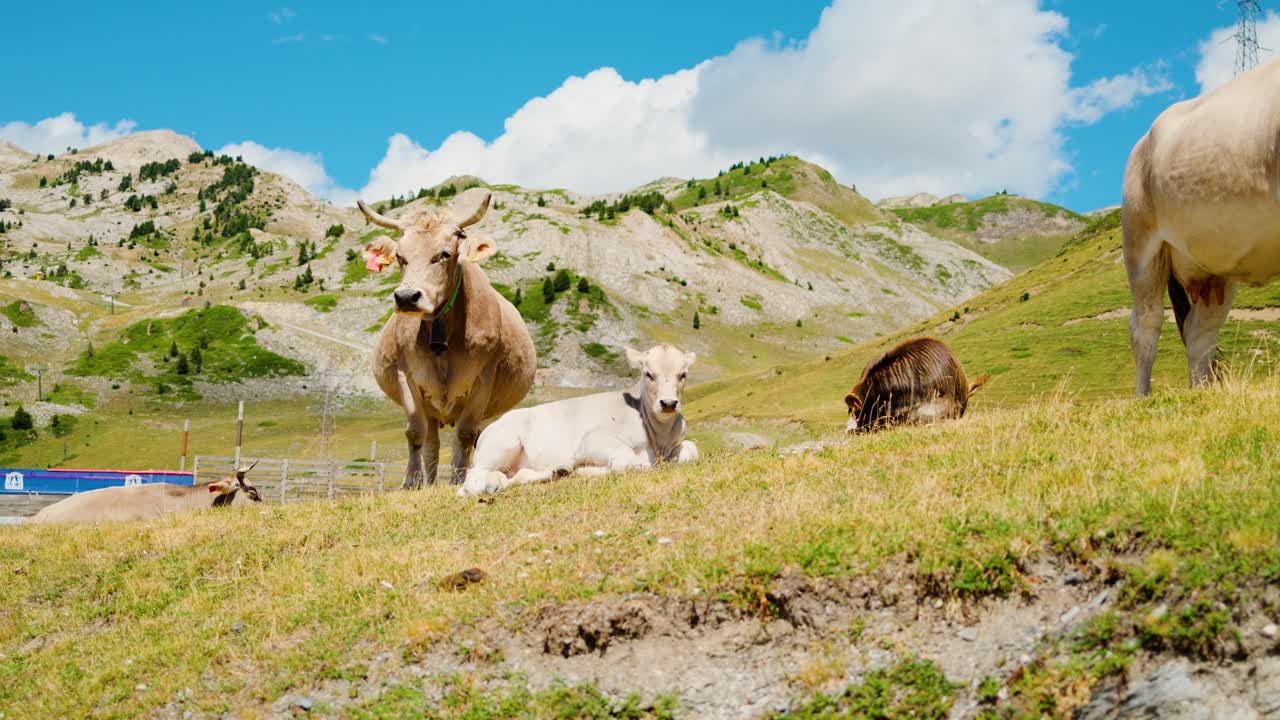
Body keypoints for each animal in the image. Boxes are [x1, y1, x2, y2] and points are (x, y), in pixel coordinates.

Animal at [357, 190, 536, 487]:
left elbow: (464, 435)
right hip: (432, 408)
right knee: (431, 443)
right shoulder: (407, 375)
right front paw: (412, 482)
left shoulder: (484, 377)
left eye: (444, 254)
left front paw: (458, 481)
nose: (407, 298)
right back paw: (429, 482)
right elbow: (415, 432)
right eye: (400, 256)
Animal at [458, 344, 699, 496]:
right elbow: (629, 462)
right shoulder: (591, 441)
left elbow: (691, 450)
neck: (658, 437)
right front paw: (587, 470)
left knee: (515, 476)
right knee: (471, 481)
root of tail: (489, 428)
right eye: (648, 374)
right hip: (500, 445)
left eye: (683, 374)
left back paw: (556, 472)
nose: (668, 403)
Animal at [1124, 59, 1280, 395]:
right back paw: (1142, 397)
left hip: (1216, 270)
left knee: (1199, 332)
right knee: (1145, 325)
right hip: (1141, 241)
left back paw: (1202, 393)